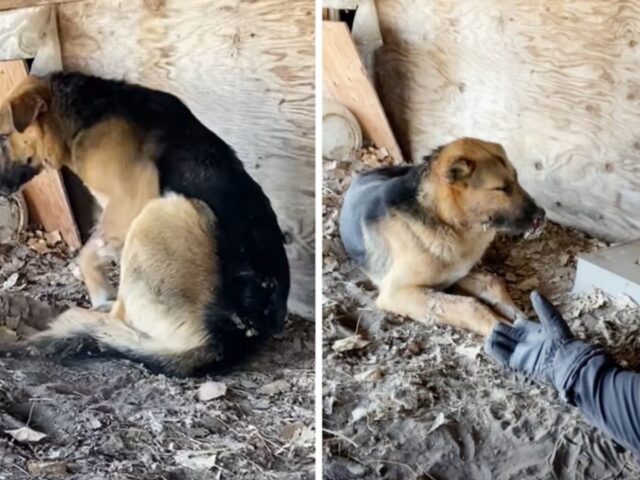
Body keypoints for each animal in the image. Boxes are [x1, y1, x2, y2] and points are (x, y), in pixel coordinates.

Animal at [0, 73, 290, 376]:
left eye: (3, 137)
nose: (1, 189)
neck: (86, 113)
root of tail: (227, 339)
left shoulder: (131, 196)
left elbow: (87, 254)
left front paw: (99, 293)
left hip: (165, 211)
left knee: (120, 314)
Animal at [340, 137, 544, 336]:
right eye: (501, 189)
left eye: (517, 178)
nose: (542, 215)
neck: (446, 220)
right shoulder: (397, 292)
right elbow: (471, 305)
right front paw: (502, 327)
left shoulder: (457, 272)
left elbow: (493, 281)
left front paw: (518, 315)